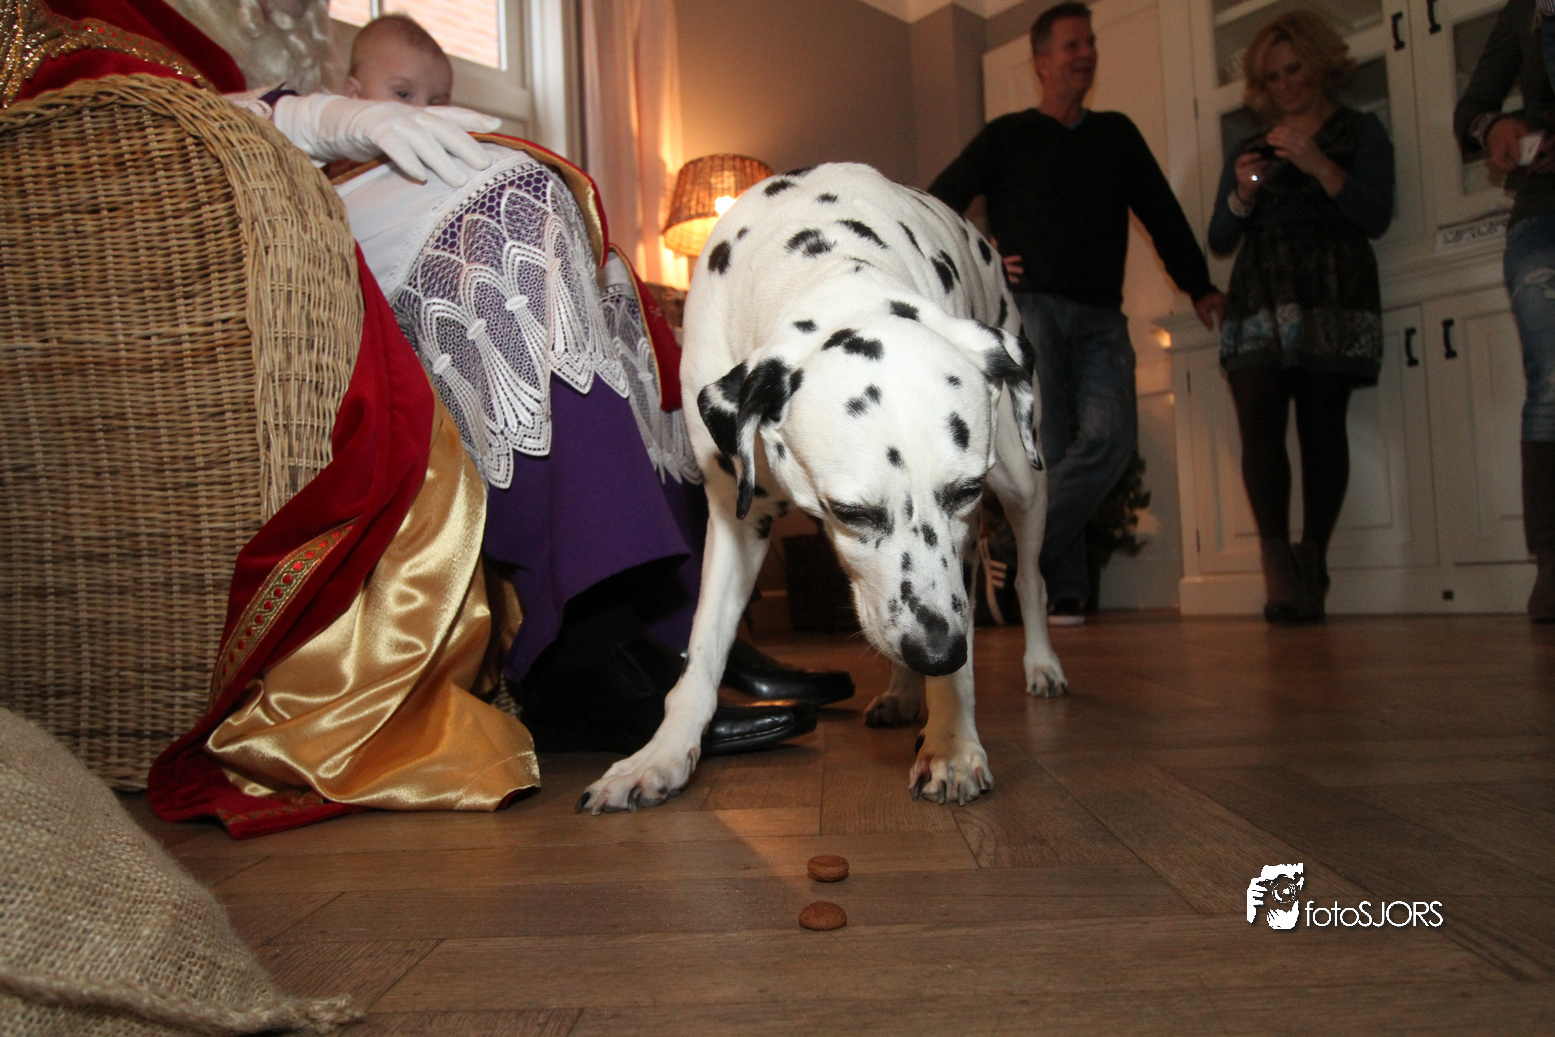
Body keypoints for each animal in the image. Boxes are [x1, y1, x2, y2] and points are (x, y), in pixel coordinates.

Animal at [577, 163, 1066, 813]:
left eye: (966, 491)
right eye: (850, 511)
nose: (937, 651)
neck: (821, 262)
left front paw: (951, 744)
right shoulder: (735, 517)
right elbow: (703, 651)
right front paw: (660, 754)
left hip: (1022, 479)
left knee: (1033, 580)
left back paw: (1039, 664)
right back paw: (904, 690)